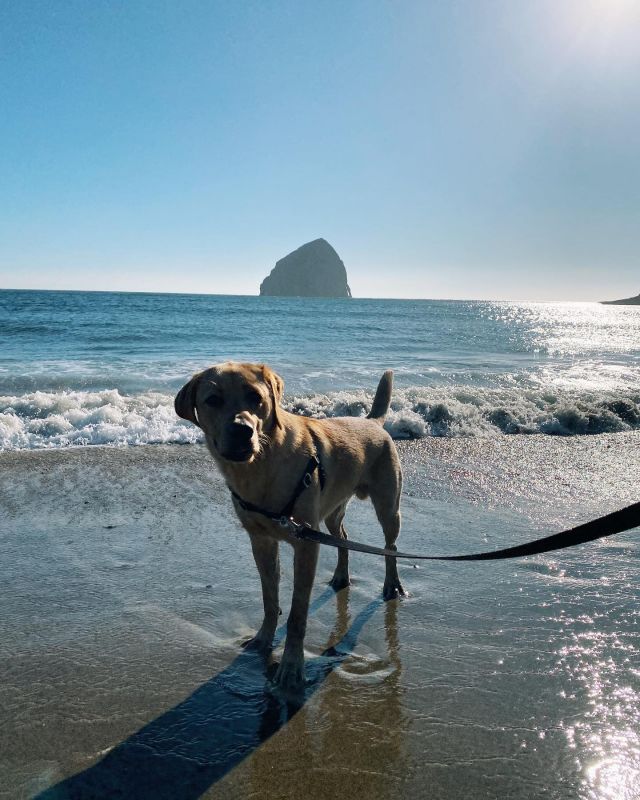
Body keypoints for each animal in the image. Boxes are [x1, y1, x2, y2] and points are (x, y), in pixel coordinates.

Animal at [175, 362, 404, 688]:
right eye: (212, 400)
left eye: (256, 397)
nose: (242, 430)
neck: (260, 468)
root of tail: (373, 422)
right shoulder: (261, 541)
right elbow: (270, 598)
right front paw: (263, 639)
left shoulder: (305, 543)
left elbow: (297, 614)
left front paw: (292, 667)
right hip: (331, 510)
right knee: (343, 536)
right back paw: (341, 576)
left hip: (387, 505)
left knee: (390, 546)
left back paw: (391, 585)